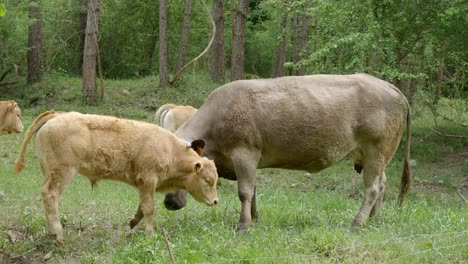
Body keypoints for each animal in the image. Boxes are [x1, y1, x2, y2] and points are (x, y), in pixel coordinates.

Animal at [14, 110, 219, 246]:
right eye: (207, 180)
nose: (216, 201)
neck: (169, 149)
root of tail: (57, 115)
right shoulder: (148, 179)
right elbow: (149, 209)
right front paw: (150, 234)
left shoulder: (145, 185)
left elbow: (142, 208)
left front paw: (132, 223)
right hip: (63, 173)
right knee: (50, 195)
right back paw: (58, 236)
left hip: (48, 172)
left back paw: (51, 233)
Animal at [163, 73, 412, 232]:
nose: (168, 203)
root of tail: (388, 86)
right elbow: (253, 191)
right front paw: (255, 218)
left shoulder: (245, 153)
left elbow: (244, 192)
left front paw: (243, 225)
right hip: (377, 156)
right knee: (382, 184)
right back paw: (375, 218)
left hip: (376, 149)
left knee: (372, 188)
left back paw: (357, 223)